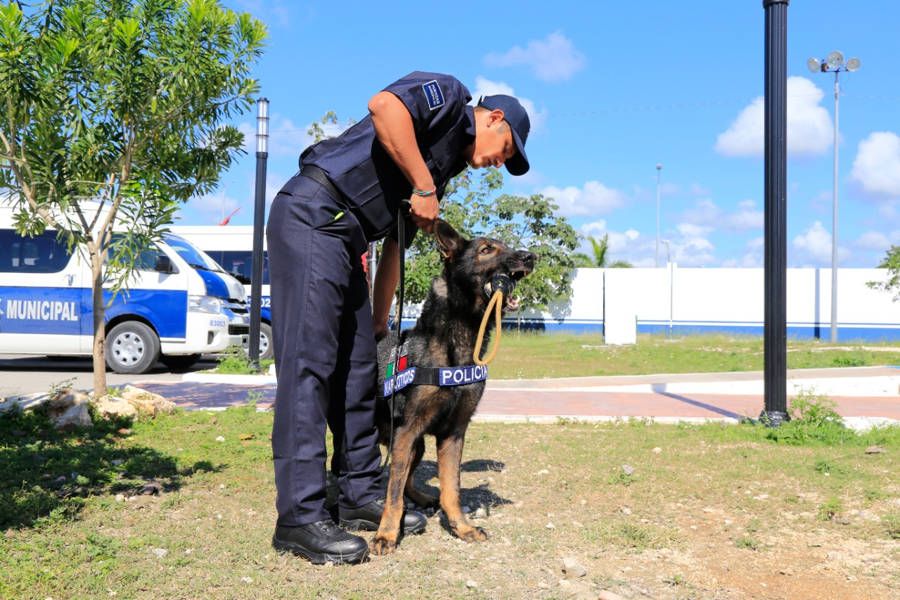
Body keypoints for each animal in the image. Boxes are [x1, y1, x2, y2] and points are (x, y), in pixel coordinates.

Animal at [370, 219, 536, 552]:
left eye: (508, 247)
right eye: (486, 250)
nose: (530, 257)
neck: (457, 340)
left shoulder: (453, 433)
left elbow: (451, 489)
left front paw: (462, 527)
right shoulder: (407, 431)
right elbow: (392, 493)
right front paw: (387, 533)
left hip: (415, 443)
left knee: (407, 478)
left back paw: (421, 498)